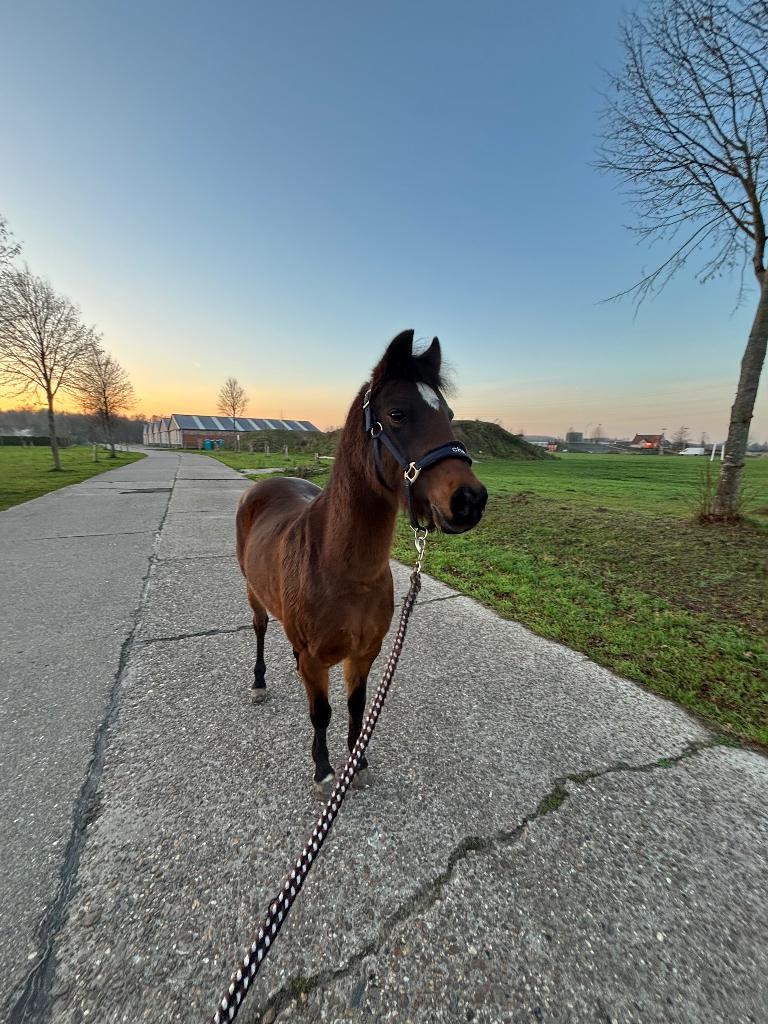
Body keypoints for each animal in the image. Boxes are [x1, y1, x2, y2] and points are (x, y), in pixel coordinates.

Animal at [235, 330, 488, 794]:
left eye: (448, 413)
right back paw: (258, 684)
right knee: (260, 629)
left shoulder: (365, 653)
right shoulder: (318, 659)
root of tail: (264, 485)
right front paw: (324, 770)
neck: (343, 571)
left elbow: (357, 706)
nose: (470, 500)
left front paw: (359, 762)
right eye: (397, 413)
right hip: (253, 593)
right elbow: (322, 713)